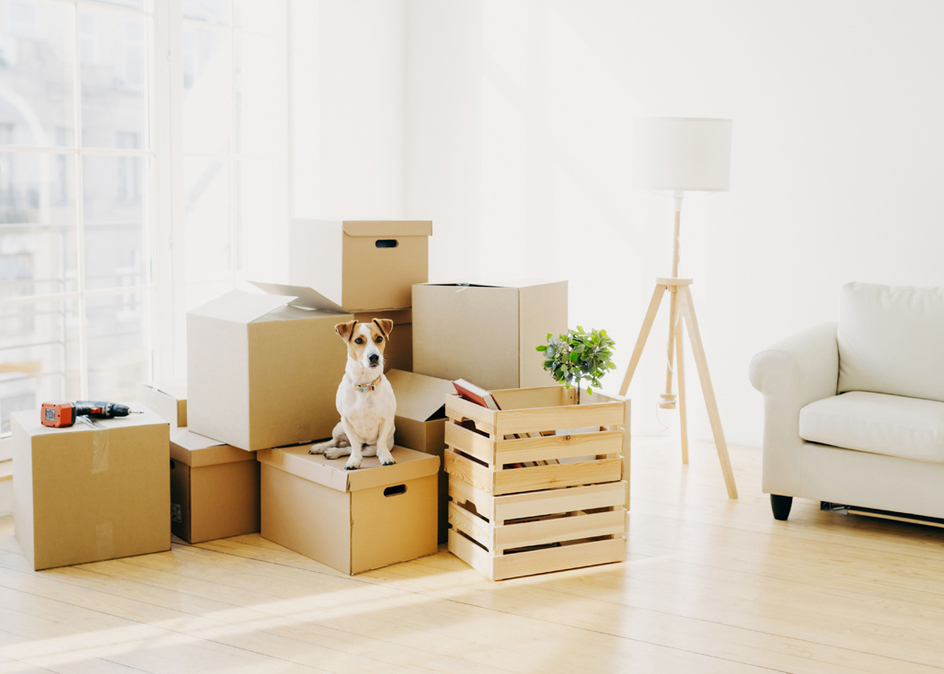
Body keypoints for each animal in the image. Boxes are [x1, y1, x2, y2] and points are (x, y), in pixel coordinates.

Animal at [308, 318, 396, 468]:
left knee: (352, 448)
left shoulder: (386, 420)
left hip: (370, 449)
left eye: (379, 338)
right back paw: (321, 447)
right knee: (338, 442)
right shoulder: (346, 421)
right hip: (338, 427)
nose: (374, 357)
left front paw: (385, 457)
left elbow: (381, 442)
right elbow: (354, 445)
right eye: (358, 340)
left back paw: (333, 452)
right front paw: (354, 460)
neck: (364, 385)